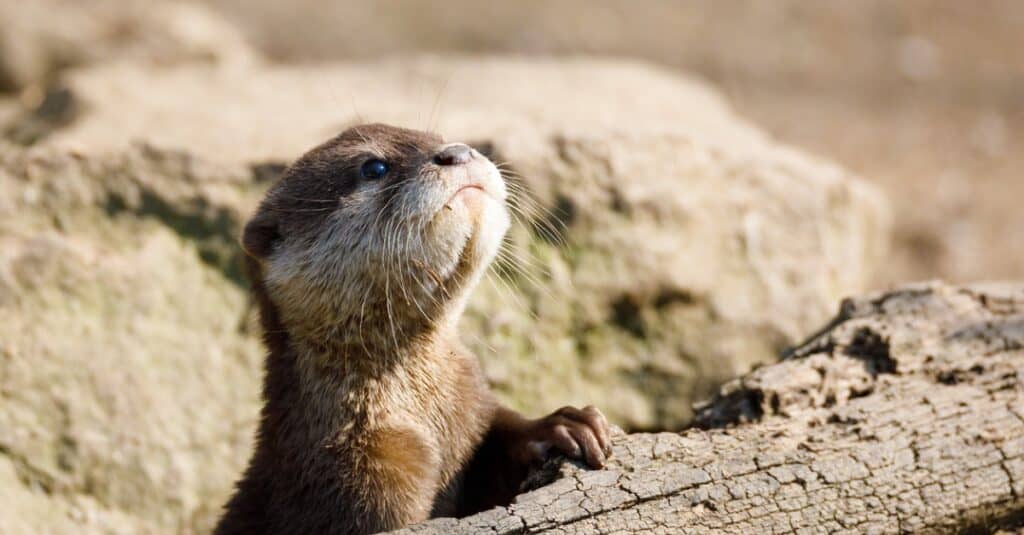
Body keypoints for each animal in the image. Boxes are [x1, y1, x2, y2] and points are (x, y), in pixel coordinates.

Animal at [217, 122, 610, 528]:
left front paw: (565, 424)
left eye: (438, 138)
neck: (421, 415)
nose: (458, 152)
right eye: (374, 167)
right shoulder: (358, 477)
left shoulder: (472, 406)